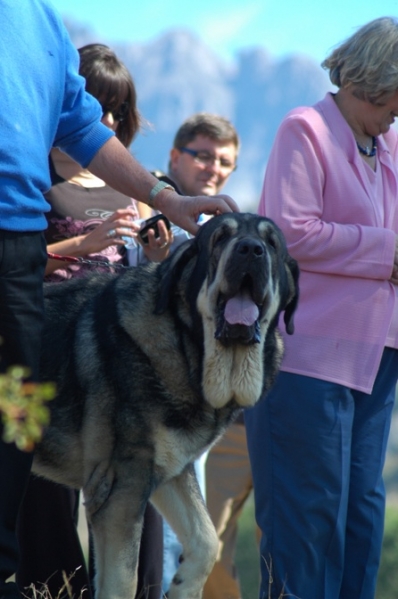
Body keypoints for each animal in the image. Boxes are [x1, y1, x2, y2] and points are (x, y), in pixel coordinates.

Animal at [31, 214, 298, 599]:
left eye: (271, 244)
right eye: (220, 238)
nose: (250, 250)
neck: (188, 347)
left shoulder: (168, 469)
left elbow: (206, 539)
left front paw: (183, 586)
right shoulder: (120, 489)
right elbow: (122, 581)